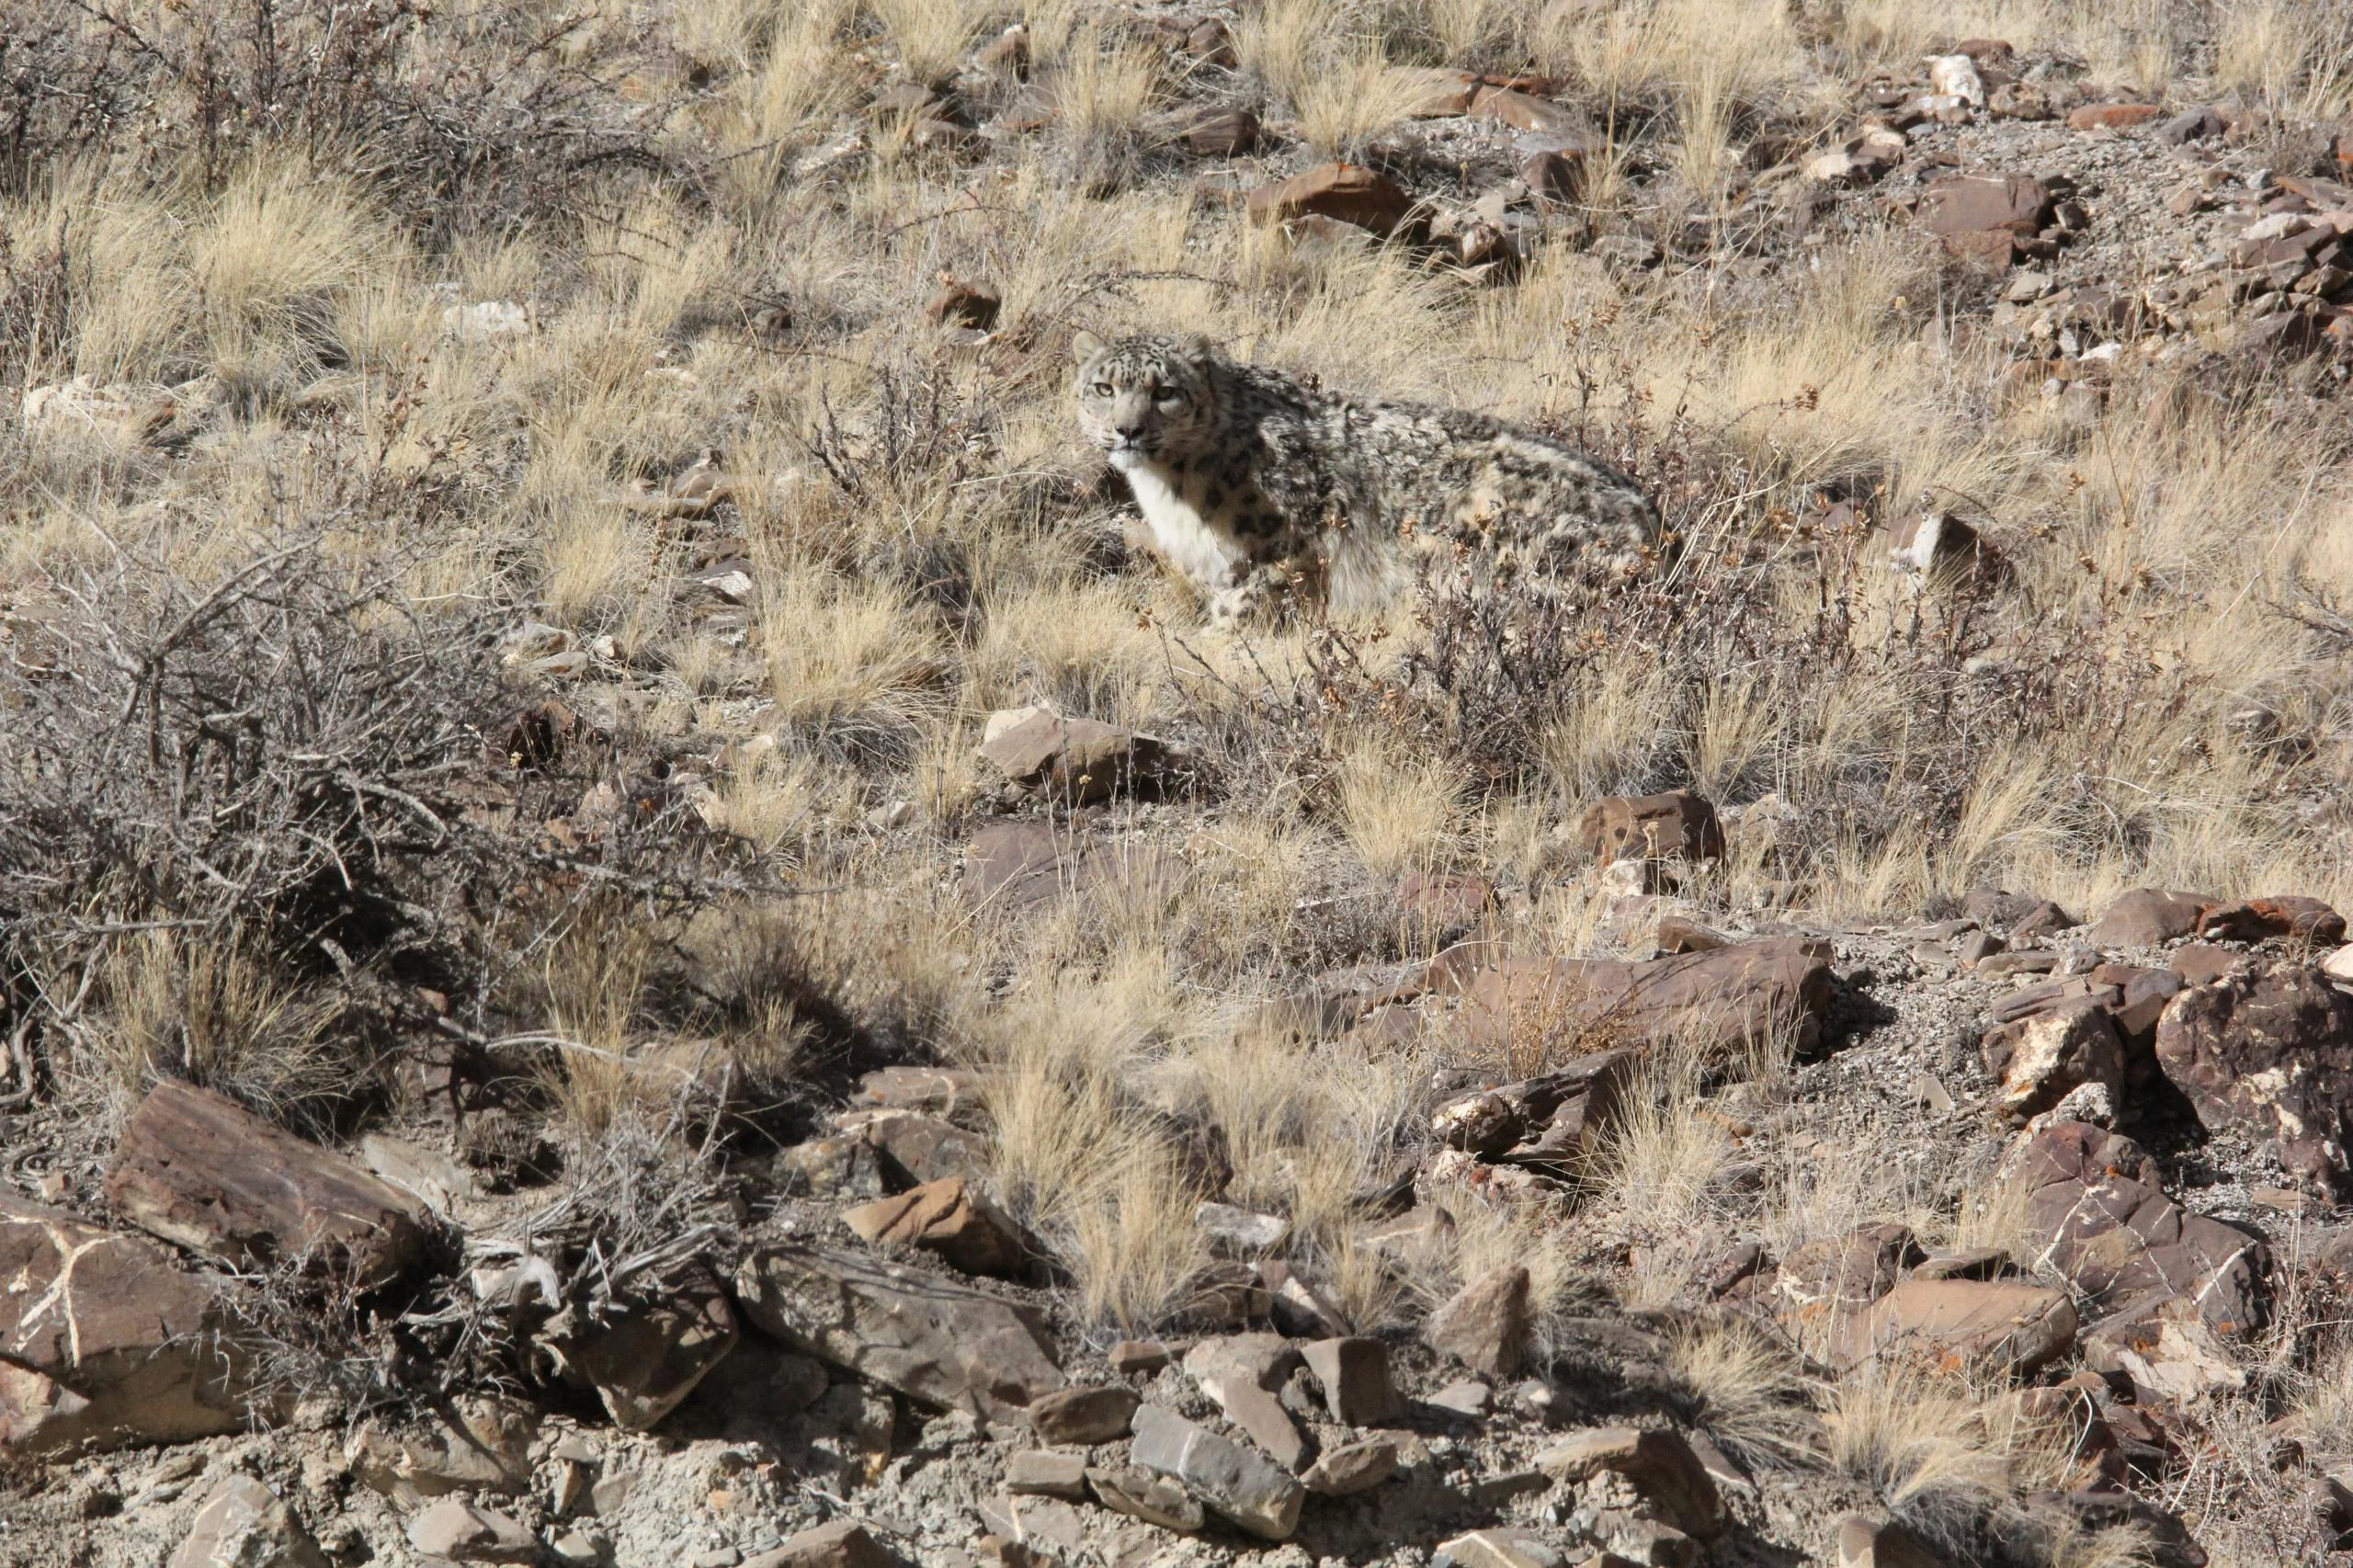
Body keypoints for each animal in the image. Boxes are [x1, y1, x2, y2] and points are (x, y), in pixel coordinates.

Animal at [1071, 330, 1660, 627]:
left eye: (1166, 391)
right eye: (1102, 387)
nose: (1127, 429)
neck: (1170, 491)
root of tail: (1654, 525)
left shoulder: (1281, 543)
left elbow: (1239, 609)